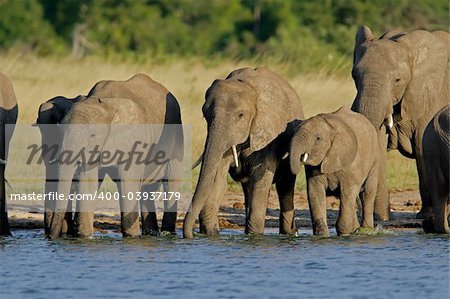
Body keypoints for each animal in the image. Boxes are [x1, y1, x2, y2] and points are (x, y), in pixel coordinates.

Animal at [48, 74, 183, 240]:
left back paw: (167, 234)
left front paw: (131, 237)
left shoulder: (134, 138)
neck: (103, 102)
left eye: (92, 135)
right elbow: (88, 182)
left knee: (171, 182)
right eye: (60, 131)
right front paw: (85, 237)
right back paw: (151, 234)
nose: (51, 238)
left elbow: (128, 181)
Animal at [184, 67, 306, 239]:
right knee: (248, 188)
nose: (190, 235)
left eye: (240, 115)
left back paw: (289, 233)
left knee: (285, 185)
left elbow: (261, 179)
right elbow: (218, 178)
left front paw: (255, 236)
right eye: (204, 115)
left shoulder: (268, 132)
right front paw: (211, 233)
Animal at [288, 108, 380, 237]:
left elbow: (347, 191)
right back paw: (356, 229)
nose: (295, 230)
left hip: (375, 160)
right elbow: (314, 192)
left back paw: (366, 230)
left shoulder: (351, 162)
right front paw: (322, 234)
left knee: (366, 193)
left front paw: (344, 234)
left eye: (318, 138)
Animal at [352, 25, 450, 221]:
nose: (382, 218)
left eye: (397, 80)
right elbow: (378, 139)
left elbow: (421, 145)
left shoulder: (431, 92)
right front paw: (380, 218)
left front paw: (426, 215)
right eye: (354, 76)